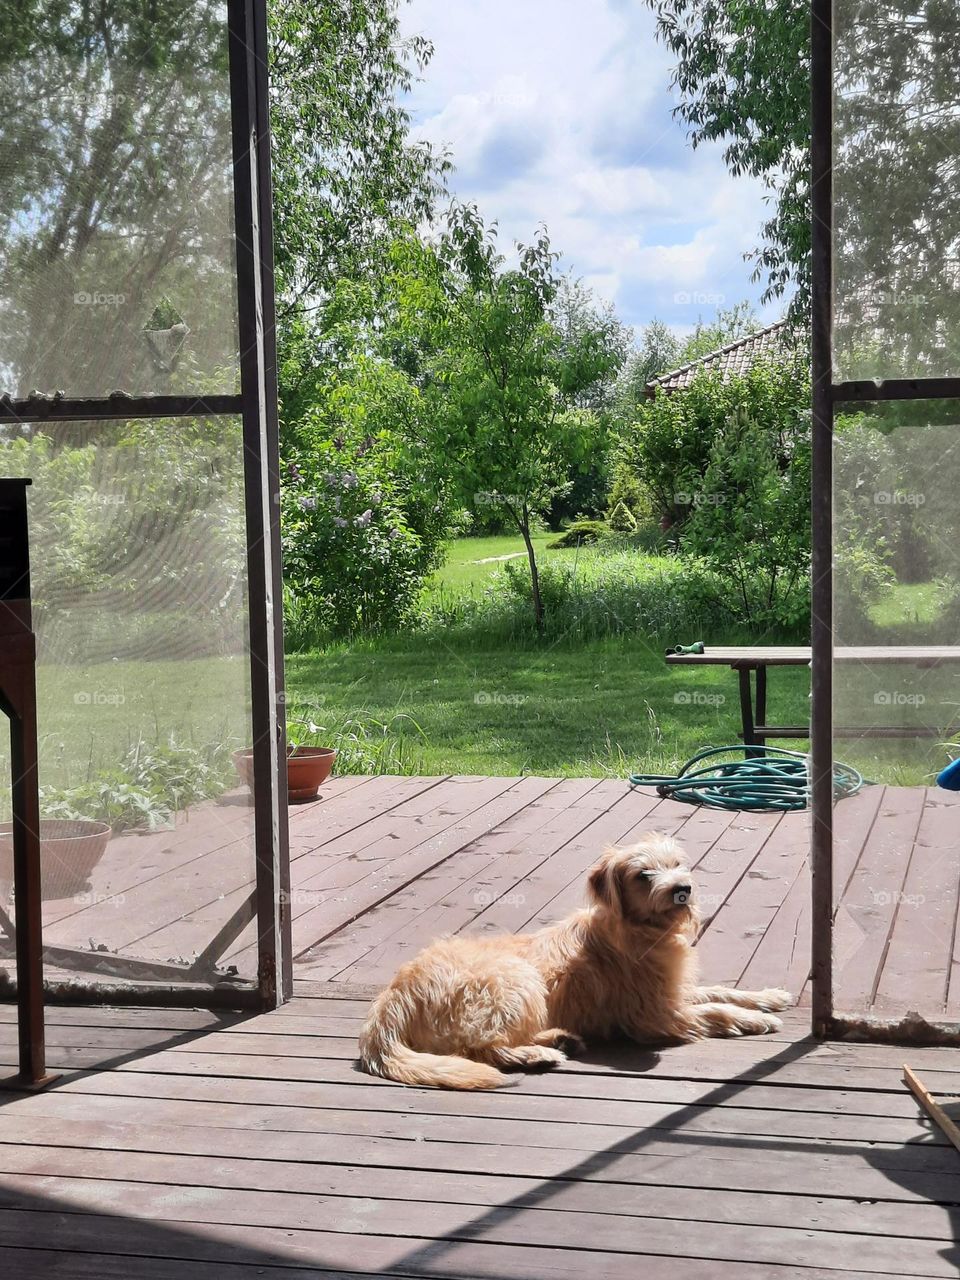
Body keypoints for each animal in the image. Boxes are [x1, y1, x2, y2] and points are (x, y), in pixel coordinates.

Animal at [358, 834, 793, 1095]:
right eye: (643, 874)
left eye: (677, 864)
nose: (682, 889)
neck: (641, 931)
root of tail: (390, 999)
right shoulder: (656, 1015)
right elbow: (714, 1010)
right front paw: (754, 1019)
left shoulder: (675, 991)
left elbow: (719, 990)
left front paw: (769, 997)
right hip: (516, 981)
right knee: (478, 1048)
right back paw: (538, 1055)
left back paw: (557, 1039)